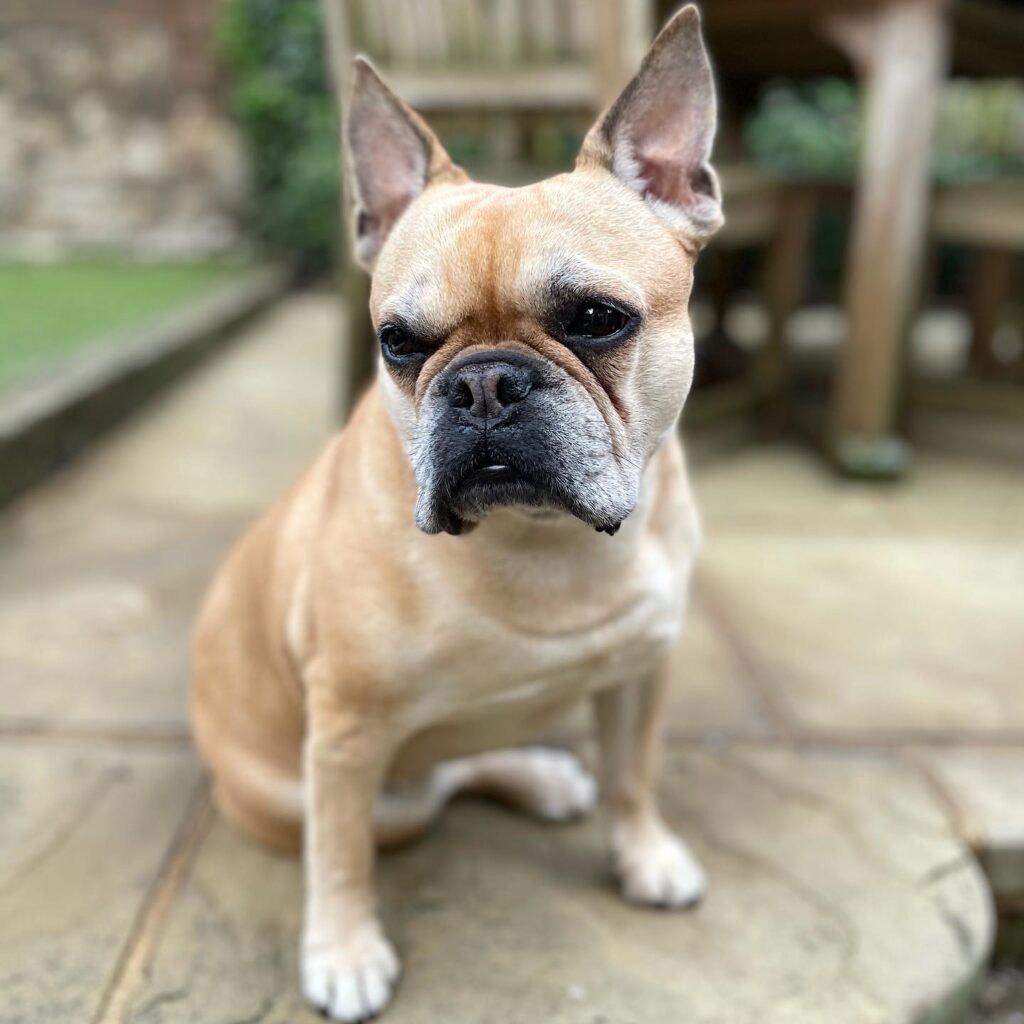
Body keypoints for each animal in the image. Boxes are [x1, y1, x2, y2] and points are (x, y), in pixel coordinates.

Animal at [190, 9, 720, 1024]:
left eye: (598, 318)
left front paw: (645, 854)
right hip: (334, 786)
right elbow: (339, 856)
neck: (542, 540)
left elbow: (635, 772)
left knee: (460, 764)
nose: (482, 383)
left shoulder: (645, 668)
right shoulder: (347, 733)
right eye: (398, 344)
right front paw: (344, 951)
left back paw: (542, 773)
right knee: (411, 798)